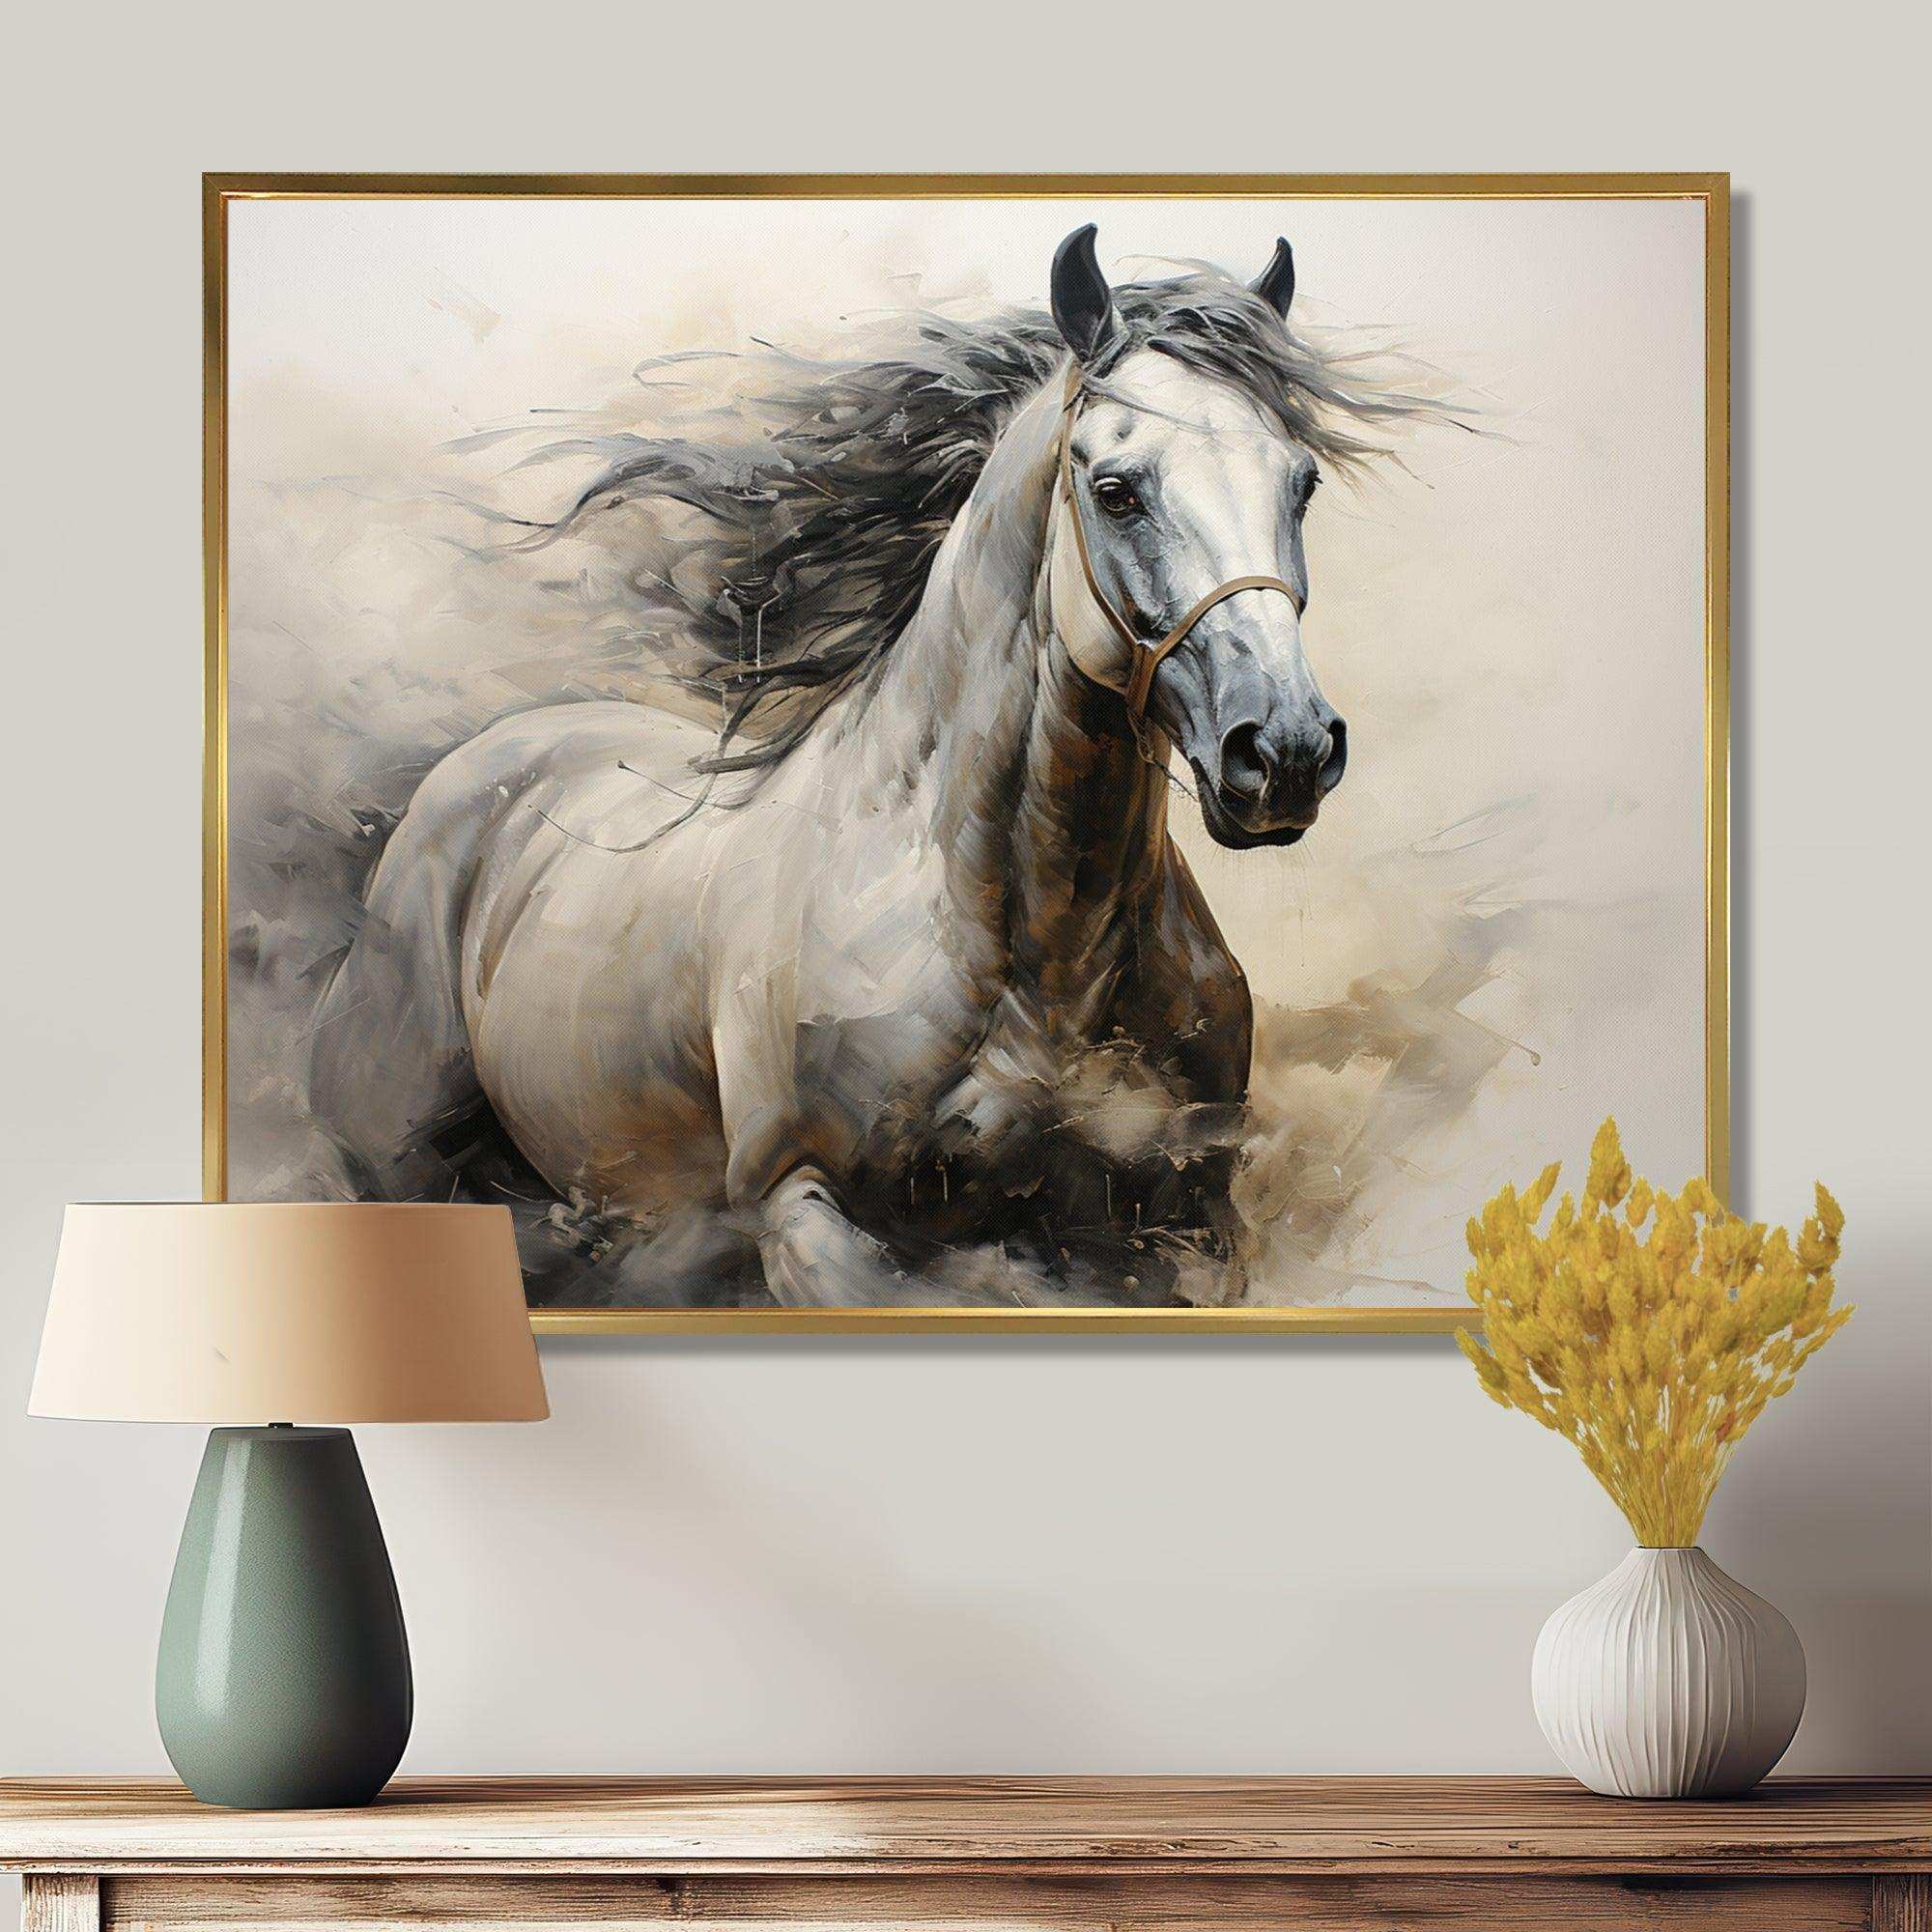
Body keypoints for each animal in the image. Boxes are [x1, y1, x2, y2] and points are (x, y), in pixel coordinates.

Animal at [308, 225, 1398, 1307]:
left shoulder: (1181, 1228)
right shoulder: (803, 1211)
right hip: (405, 1173)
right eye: (1116, 490)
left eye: (1299, 482)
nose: (1285, 750)